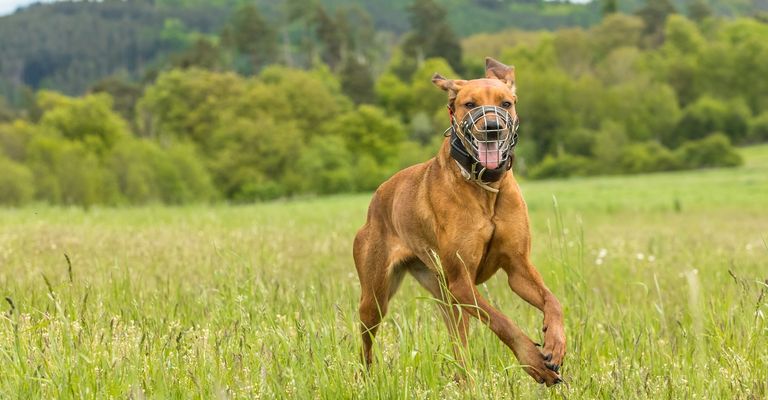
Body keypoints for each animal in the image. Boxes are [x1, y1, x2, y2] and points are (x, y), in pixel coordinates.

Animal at [352, 57, 564, 386]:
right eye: (469, 104)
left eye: (506, 103)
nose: (492, 128)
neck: (484, 186)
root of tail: (377, 198)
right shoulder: (462, 282)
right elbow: (502, 321)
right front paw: (533, 359)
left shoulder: (518, 268)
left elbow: (552, 301)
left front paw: (555, 343)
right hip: (375, 297)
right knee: (366, 340)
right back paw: (367, 378)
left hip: (447, 301)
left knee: (459, 346)